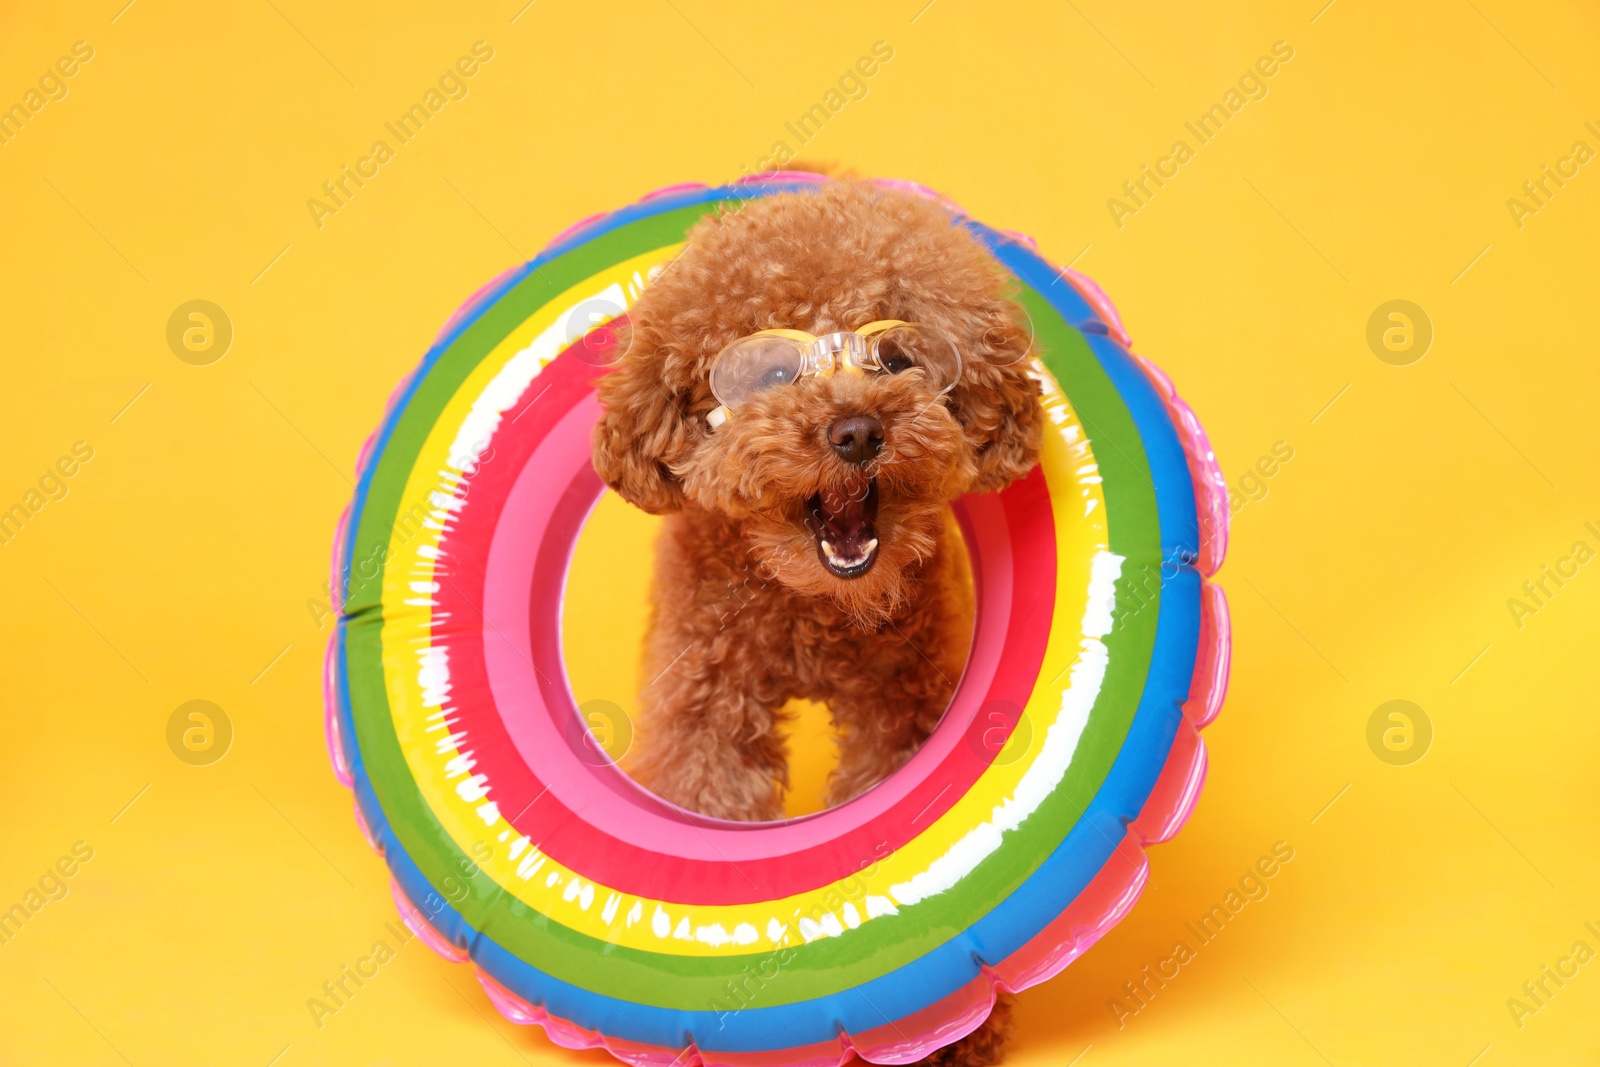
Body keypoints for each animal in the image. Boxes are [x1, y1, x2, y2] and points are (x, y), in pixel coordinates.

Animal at [595, 179, 1043, 1067]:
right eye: (771, 372)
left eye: (898, 360)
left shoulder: (903, 705)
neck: (807, 605)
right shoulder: (705, 706)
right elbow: (708, 781)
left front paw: (953, 1031)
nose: (858, 430)